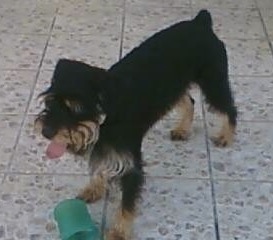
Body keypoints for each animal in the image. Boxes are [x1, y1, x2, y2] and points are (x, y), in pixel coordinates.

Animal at [35, 9, 236, 240]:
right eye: (49, 101)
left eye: (75, 108)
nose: (46, 132)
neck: (106, 112)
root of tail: (200, 22)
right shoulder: (102, 147)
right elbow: (99, 168)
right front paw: (94, 188)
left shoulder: (131, 165)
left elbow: (127, 204)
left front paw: (119, 232)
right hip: (173, 88)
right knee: (189, 101)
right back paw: (183, 129)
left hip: (214, 82)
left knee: (229, 108)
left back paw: (226, 136)